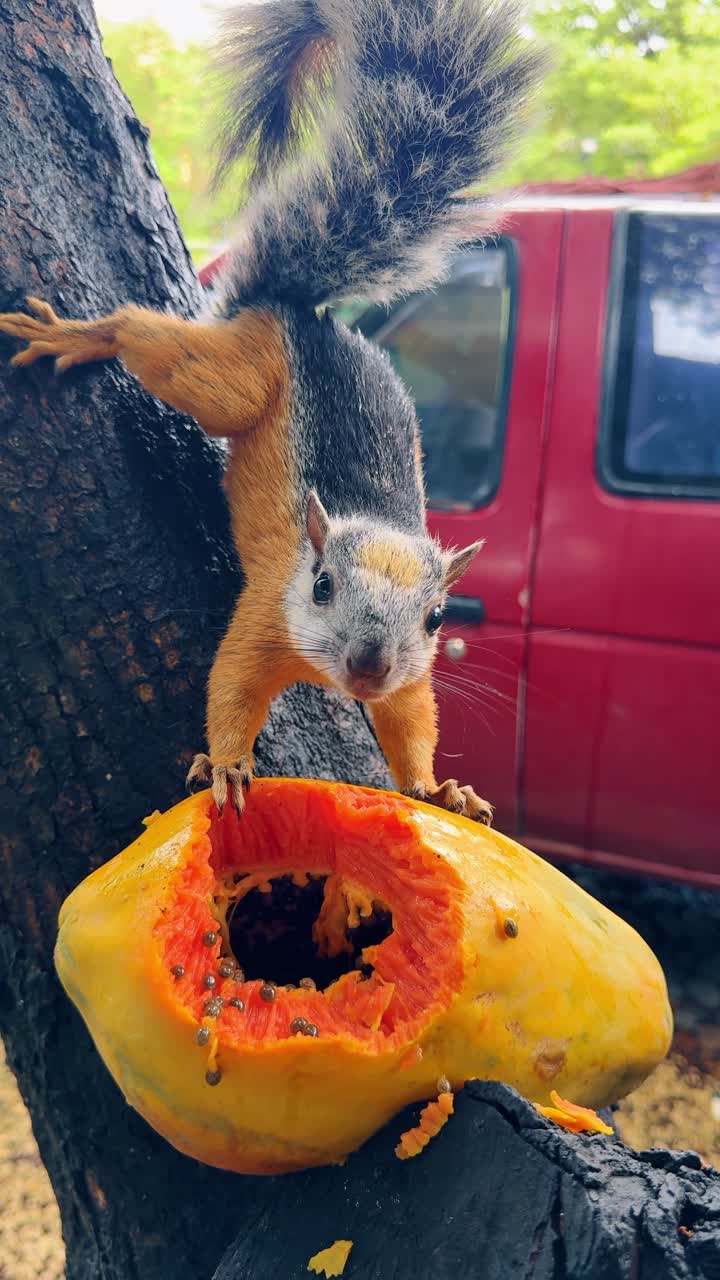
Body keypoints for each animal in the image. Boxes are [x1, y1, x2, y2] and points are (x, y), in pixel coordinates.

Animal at [0, 0, 540, 820]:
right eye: (321, 586)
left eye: (437, 618)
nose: (368, 664)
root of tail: (303, 317)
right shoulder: (263, 615)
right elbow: (229, 689)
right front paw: (226, 765)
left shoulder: (410, 677)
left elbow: (410, 721)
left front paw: (436, 786)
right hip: (232, 385)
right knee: (149, 344)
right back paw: (83, 334)